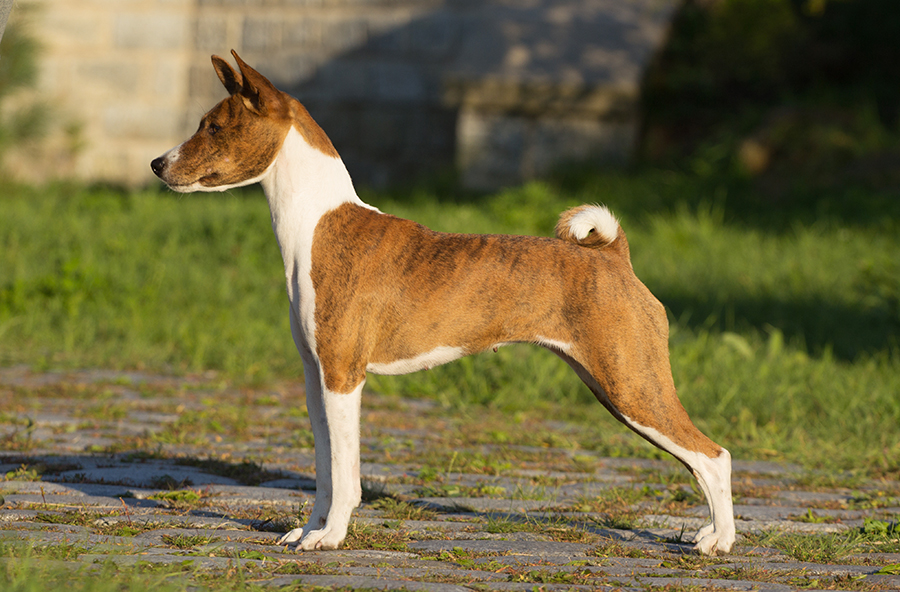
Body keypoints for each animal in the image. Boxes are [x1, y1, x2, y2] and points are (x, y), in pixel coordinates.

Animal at [151, 51, 736, 556]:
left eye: (213, 127)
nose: (157, 163)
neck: (319, 225)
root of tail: (615, 256)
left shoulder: (343, 376)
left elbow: (346, 475)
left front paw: (331, 538)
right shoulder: (316, 377)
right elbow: (324, 471)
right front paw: (310, 530)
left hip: (631, 385)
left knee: (714, 456)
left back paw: (720, 543)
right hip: (616, 385)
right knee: (697, 460)